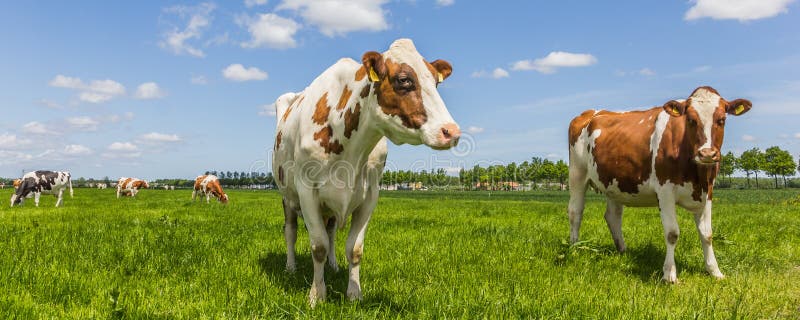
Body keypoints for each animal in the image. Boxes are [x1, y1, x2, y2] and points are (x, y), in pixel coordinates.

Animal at [276, 38, 462, 306]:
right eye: (404, 79)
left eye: (435, 82)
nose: (451, 132)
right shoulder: (306, 190)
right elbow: (318, 246)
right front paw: (316, 296)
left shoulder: (370, 194)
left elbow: (353, 248)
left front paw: (354, 293)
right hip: (287, 196)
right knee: (290, 231)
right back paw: (290, 267)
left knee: (331, 232)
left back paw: (333, 266)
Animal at [568, 85, 752, 282]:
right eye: (691, 120)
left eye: (722, 119)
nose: (707, 154)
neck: (696, 175)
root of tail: (589, 113)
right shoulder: (665, 192)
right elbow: (672, 233)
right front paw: (670, 275)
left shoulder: (708, 191)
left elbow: (707, 234)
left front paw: (714, 271)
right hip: (577, 174)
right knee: (575, 211)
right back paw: (574, 247)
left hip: (614, 184)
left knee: (613, 216)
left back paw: (623, 250)